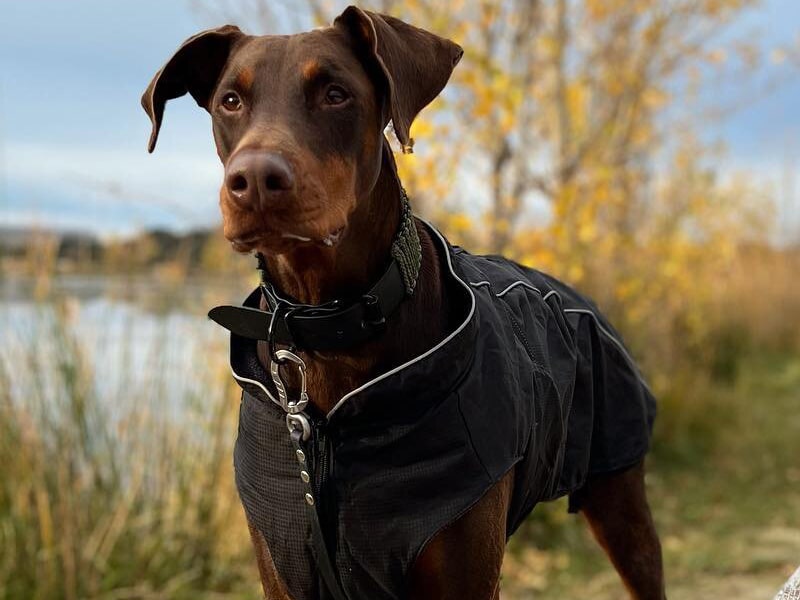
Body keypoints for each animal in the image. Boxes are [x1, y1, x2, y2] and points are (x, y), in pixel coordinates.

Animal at [142, 5, 664, 600]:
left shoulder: (462, 568)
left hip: (622, 495)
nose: (253, 180)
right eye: (231, 99)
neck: (329, 325)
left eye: (336, 93)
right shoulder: (285, 565)